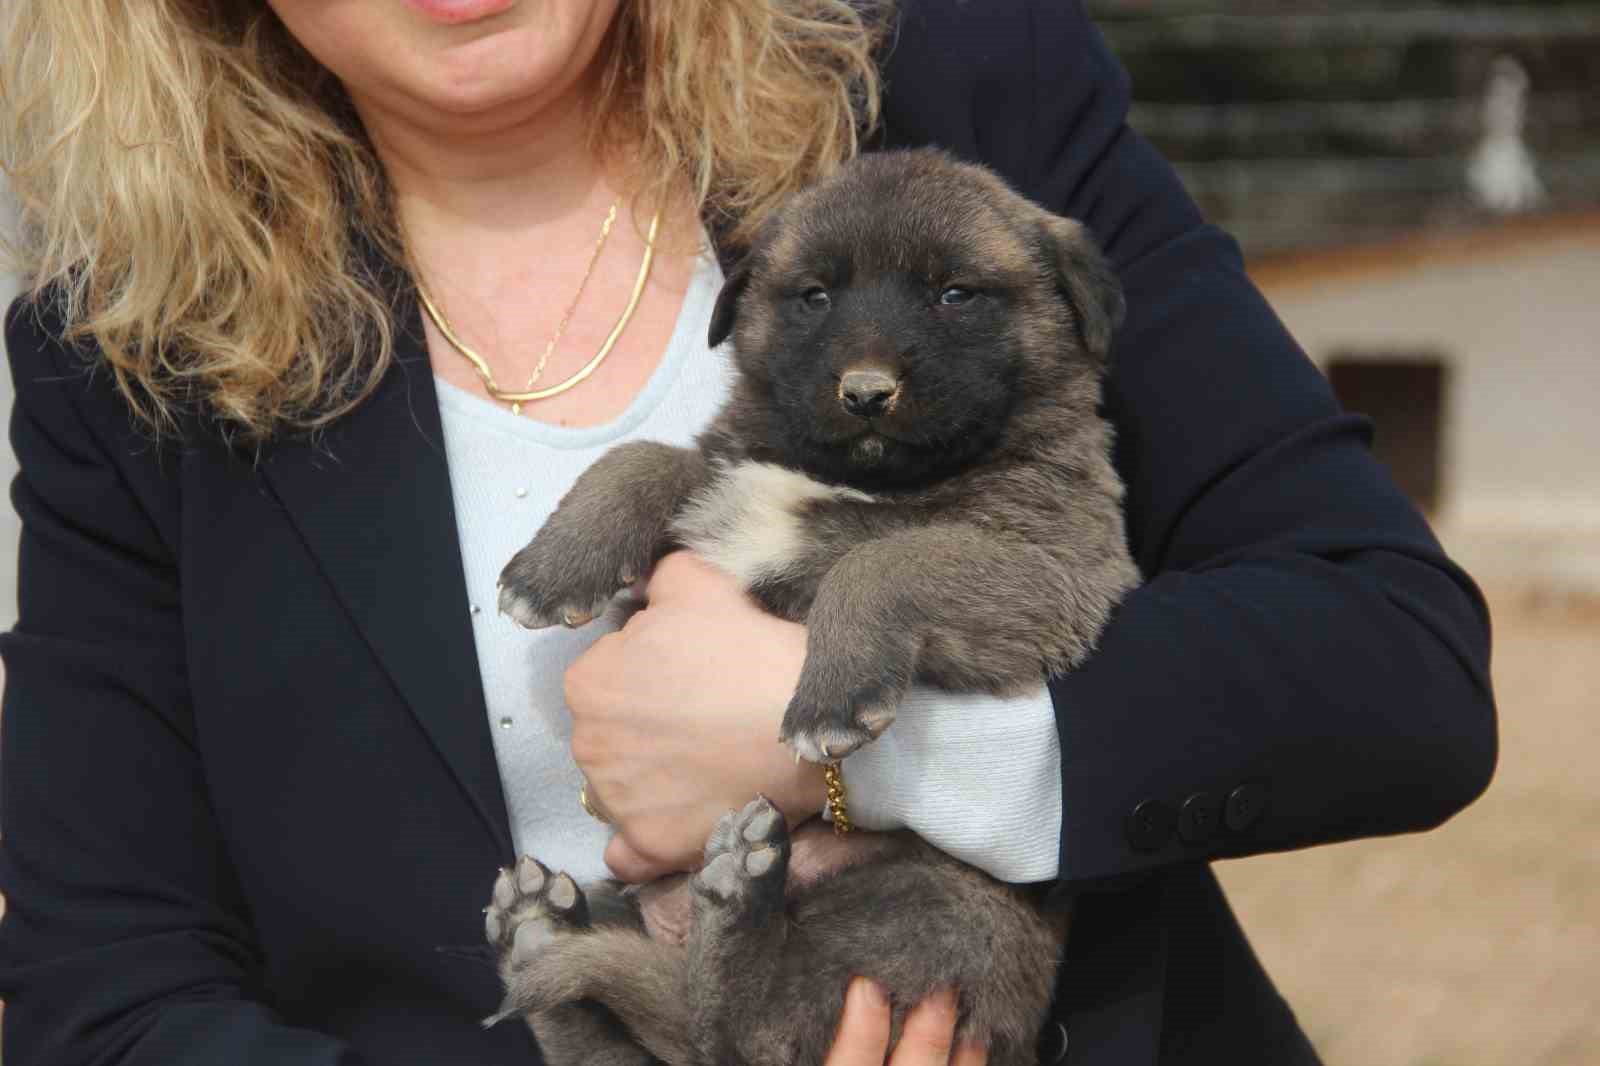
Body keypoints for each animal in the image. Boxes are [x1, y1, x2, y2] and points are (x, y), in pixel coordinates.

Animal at [486, 149, 1139, 1062]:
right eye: (815, 296)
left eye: (955, 294)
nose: (866, 392)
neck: (856, 476)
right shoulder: (726, 474)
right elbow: (645, 457)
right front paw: (557, 565)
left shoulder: (1061, 568)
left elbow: (882, 558)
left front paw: (834, 695)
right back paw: (541, 927)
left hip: (935, 908)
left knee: (743, 1028)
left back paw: (735, 904)